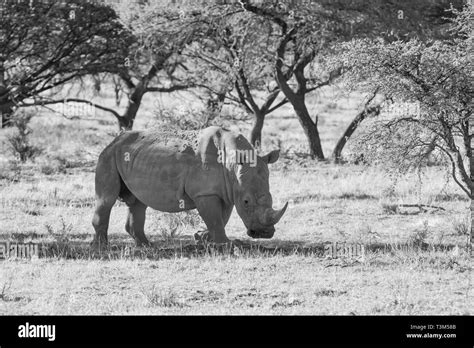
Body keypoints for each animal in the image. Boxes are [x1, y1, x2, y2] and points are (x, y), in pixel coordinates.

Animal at [90, 125, 286, 250]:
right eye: (246, 202)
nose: (264, 233)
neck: (232, 164)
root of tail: (114, 139)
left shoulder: (228, 191)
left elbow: (222, 218)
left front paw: (202, 237)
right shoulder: (205, 193)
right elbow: (215, 218)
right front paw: (227, 244)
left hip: (132, 155)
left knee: (138, 202)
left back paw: (147, 246)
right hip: (108, 155)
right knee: (107, 200)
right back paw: (102, 247)